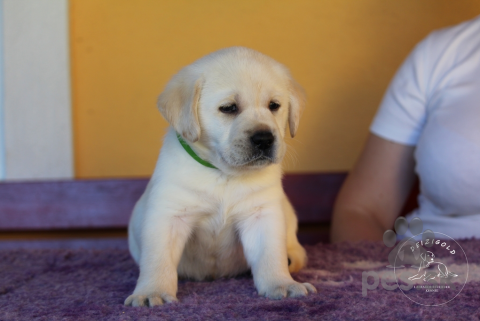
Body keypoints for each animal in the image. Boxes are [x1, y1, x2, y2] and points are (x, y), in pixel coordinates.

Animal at [125, 47, 316, 304]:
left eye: (274, 105)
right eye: (229, 108)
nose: (264, 139)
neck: (224, 173)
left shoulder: (261, 214)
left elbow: (270, 256)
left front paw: (281, 284)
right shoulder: (170, 215)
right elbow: (158, 259)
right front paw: (152, 292)